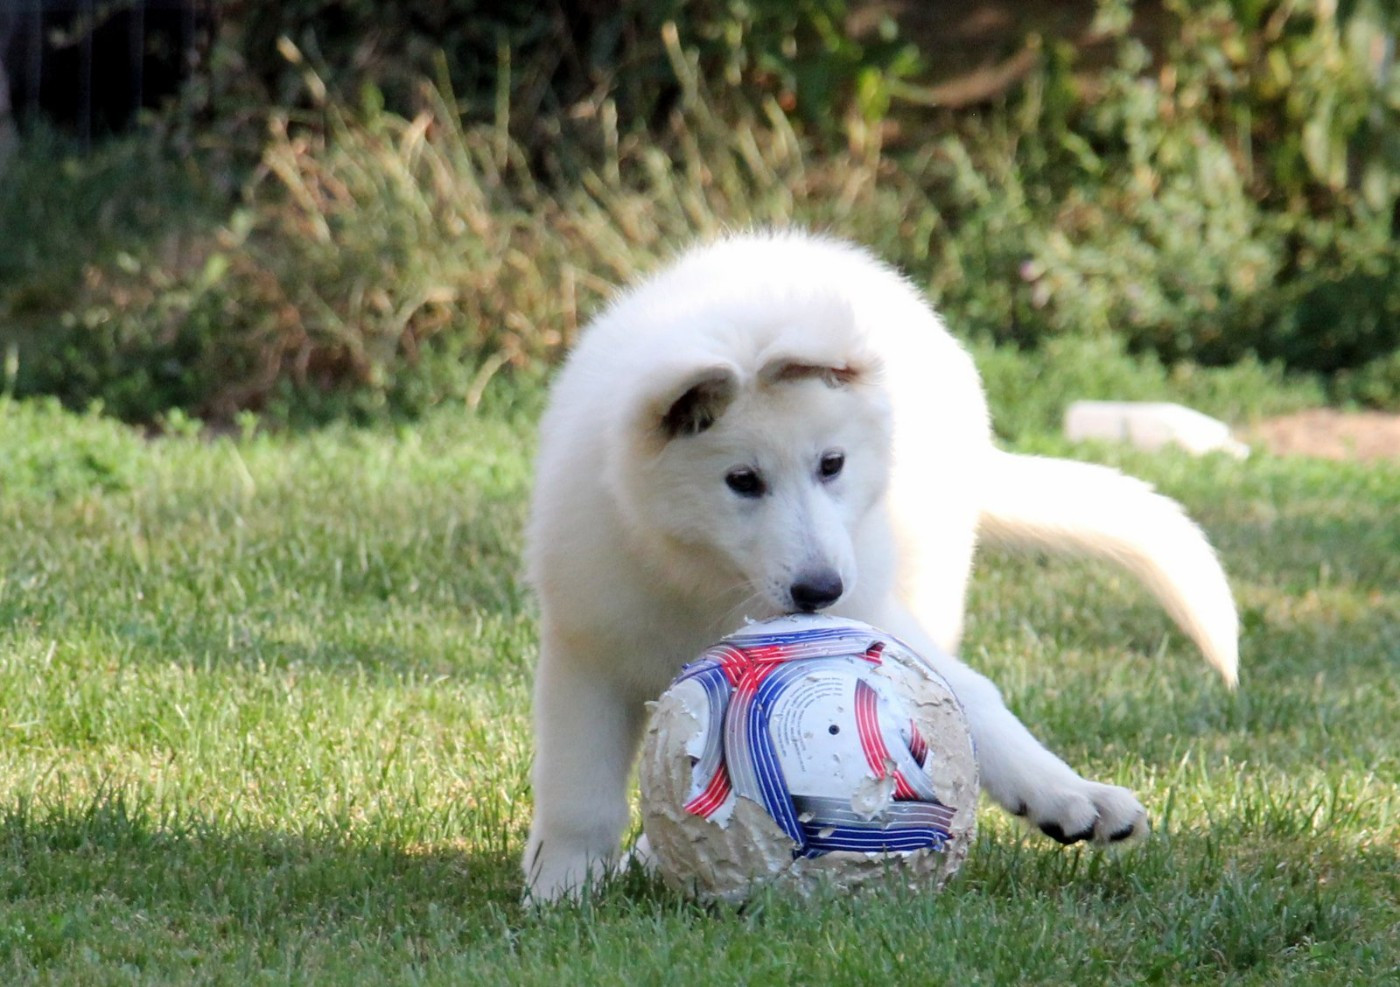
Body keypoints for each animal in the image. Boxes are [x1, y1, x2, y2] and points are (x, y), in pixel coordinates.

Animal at [523, 230, 1238, 902]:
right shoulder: (588, 650)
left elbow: (969, 701)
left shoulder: (871, 614)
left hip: (929, 575)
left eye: (831, 465)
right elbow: (578, 791)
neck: (710, 581)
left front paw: (1069, 795)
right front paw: (561, 887)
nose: (820, 591)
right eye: (742, 482)